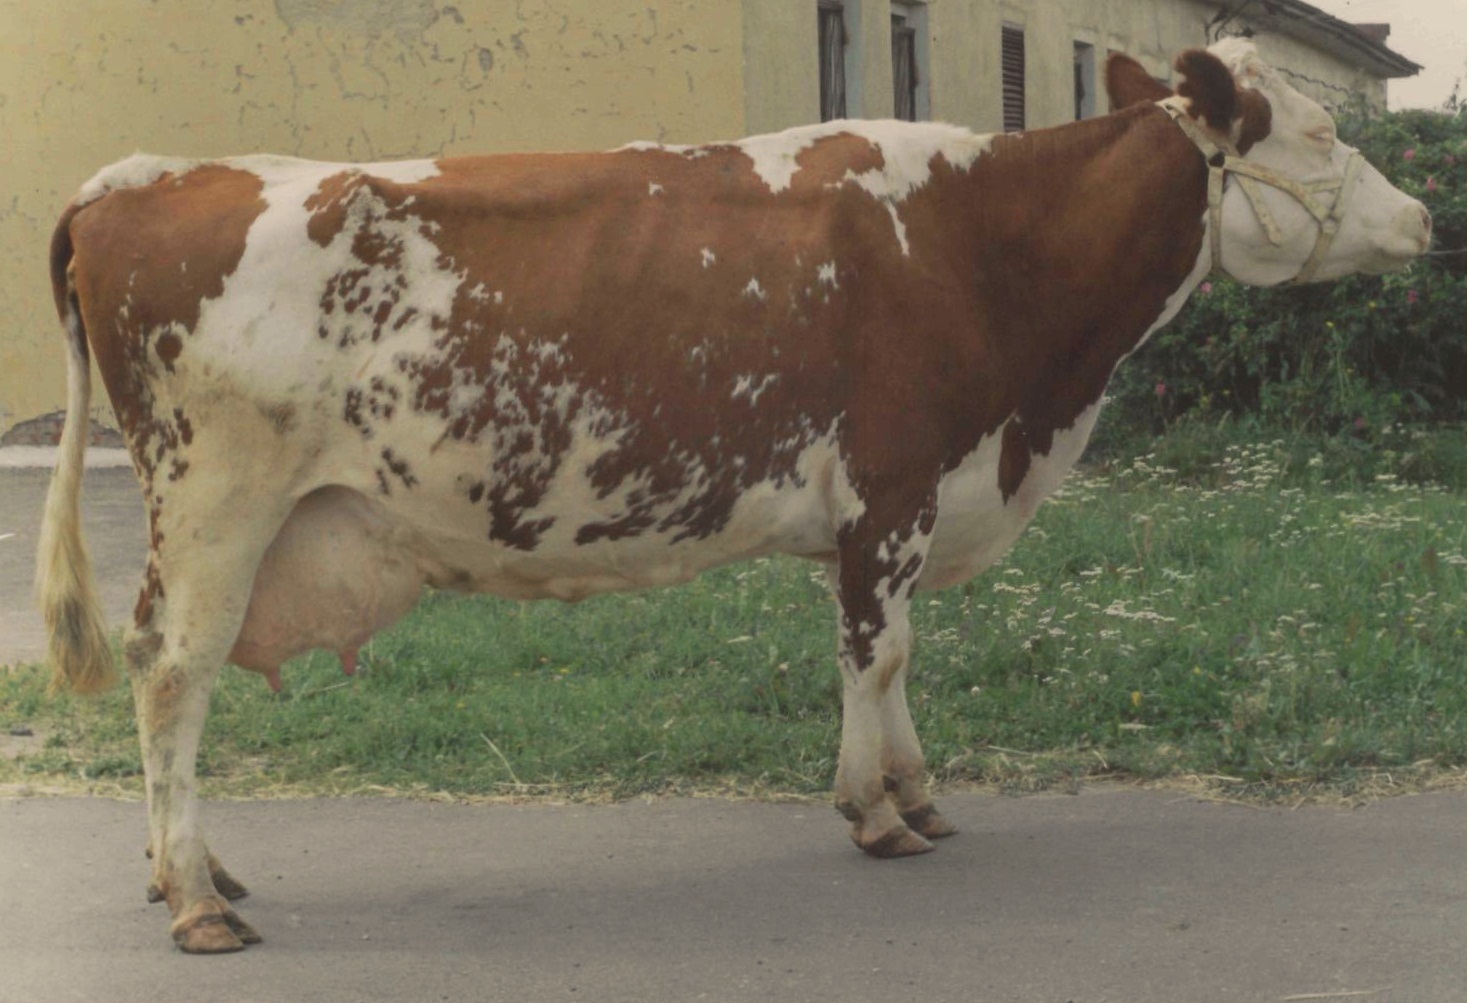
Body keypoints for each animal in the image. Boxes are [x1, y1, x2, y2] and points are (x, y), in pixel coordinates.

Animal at [40, 37, 1427, 951]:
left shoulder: (895, 508)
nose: (1421, 218)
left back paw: (194, 870)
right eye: (1318, 135)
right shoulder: (891, 484)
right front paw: (874, 814)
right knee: (173, 673)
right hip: (218, 500)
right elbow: (878, 653)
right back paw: (195, 896)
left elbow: (893, 653)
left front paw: (918, 794)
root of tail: (143, 176)